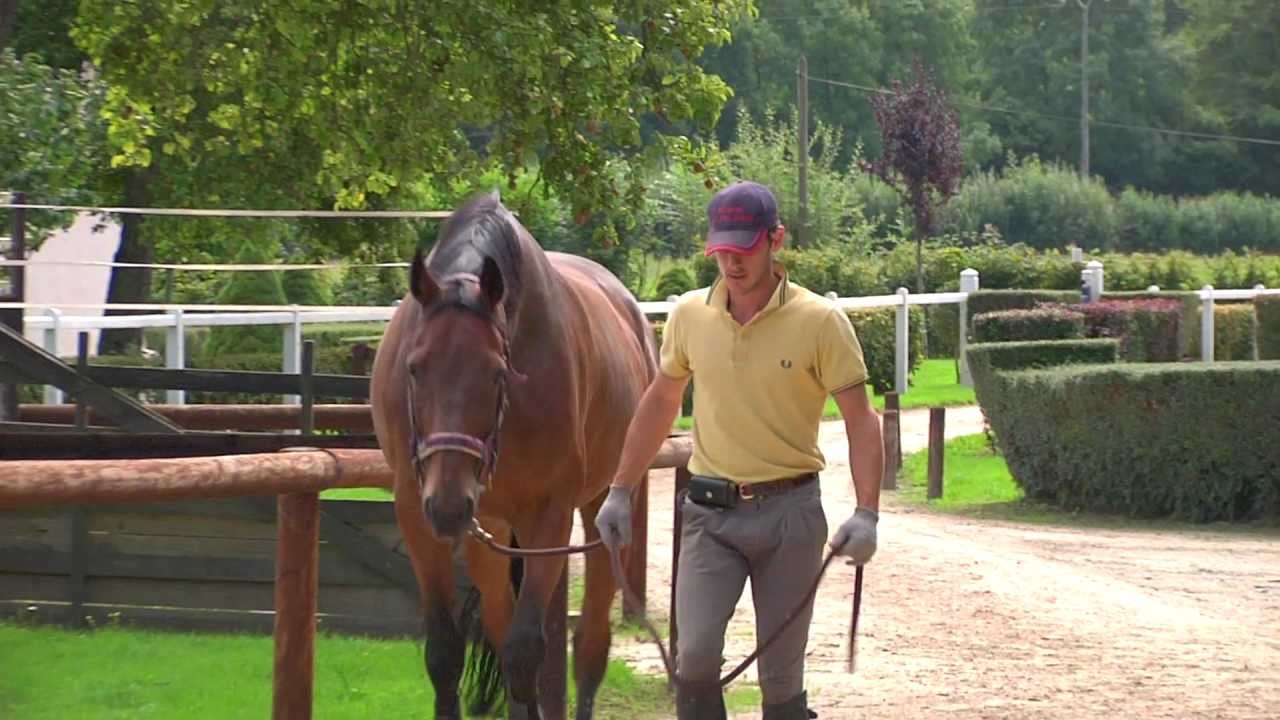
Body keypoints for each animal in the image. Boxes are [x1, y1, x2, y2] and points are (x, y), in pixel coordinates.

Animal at [370, 191, 656, 719]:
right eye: (414, 369)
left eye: (497, 373)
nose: (449, 504)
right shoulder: (417, 514)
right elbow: (446, 653)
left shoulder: (550, 515)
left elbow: (526, 651)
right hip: (491, 527)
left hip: (603, 512)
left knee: (590, 645)